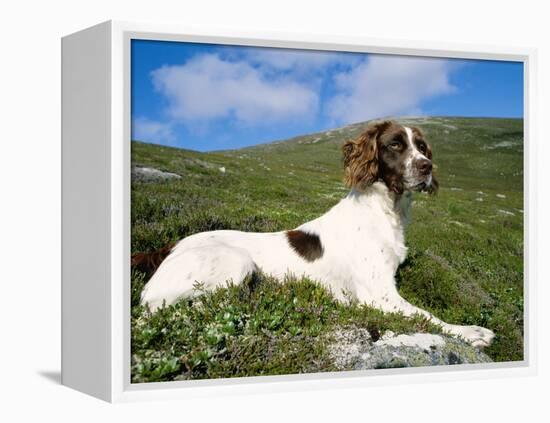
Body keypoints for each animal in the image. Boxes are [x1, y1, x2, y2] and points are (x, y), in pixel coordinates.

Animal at [136, 120, 498, 348]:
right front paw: (471, 332)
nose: (427, 167)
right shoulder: (378, 294)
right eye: (395, 144)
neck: (385, 211)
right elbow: (427, 315)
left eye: (422, 147)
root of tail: (167, 247)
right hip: (234, 261)